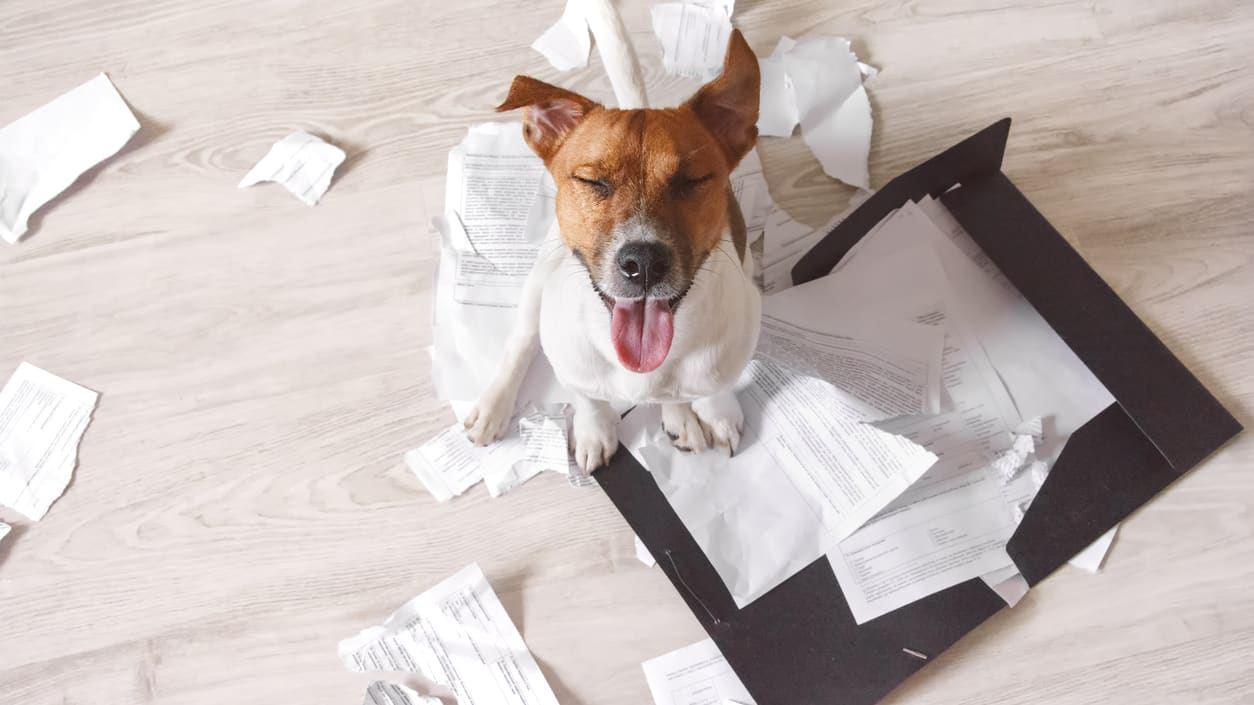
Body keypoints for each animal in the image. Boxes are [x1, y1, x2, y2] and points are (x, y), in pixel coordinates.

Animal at [458, 23, 757, 471]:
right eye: (593, 182)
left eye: (691, 181)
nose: (644, 262)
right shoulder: (576, 371)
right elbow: (590, 400)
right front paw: (594, 431)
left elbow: (715, 389)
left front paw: (717, 414)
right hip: (539, 281)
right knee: (522, 340)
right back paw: (494, 405)